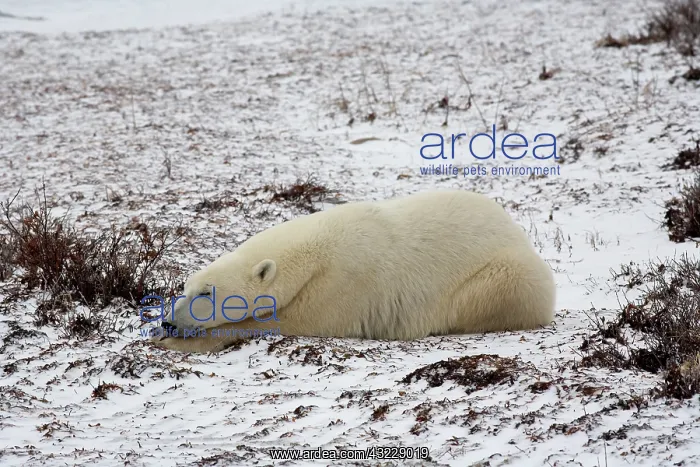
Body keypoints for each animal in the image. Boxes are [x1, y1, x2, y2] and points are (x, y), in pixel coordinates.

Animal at [149, 189, 556, 353]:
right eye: (186, 288)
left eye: (207, 293)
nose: (169, 321)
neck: (315, 251)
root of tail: (515, 228)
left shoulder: (343, 284)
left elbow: (285, 321)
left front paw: (175, 342)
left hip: (505, 273)